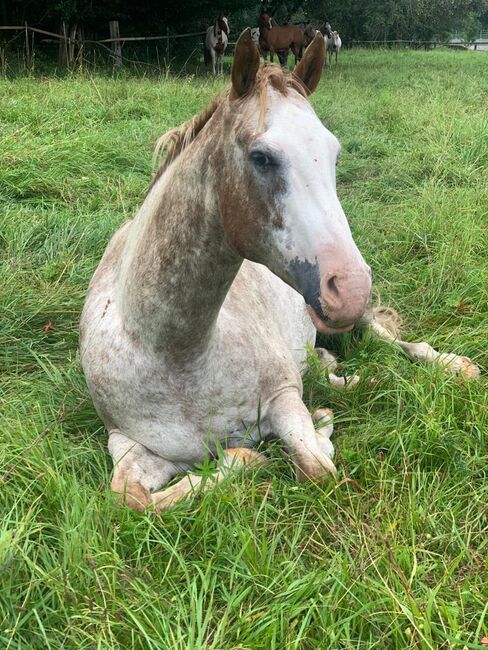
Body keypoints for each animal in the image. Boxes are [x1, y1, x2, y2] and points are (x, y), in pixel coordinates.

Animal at [82, 30, 478, 512]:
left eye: (333, 152)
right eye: (262, 157)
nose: (350, 286)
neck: (173, 353)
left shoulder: (284, 398)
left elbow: (316, 467)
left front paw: (319, 430)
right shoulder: (128, 444)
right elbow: (131, 498)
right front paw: (252, 454)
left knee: (387, 338)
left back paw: (451, 366)